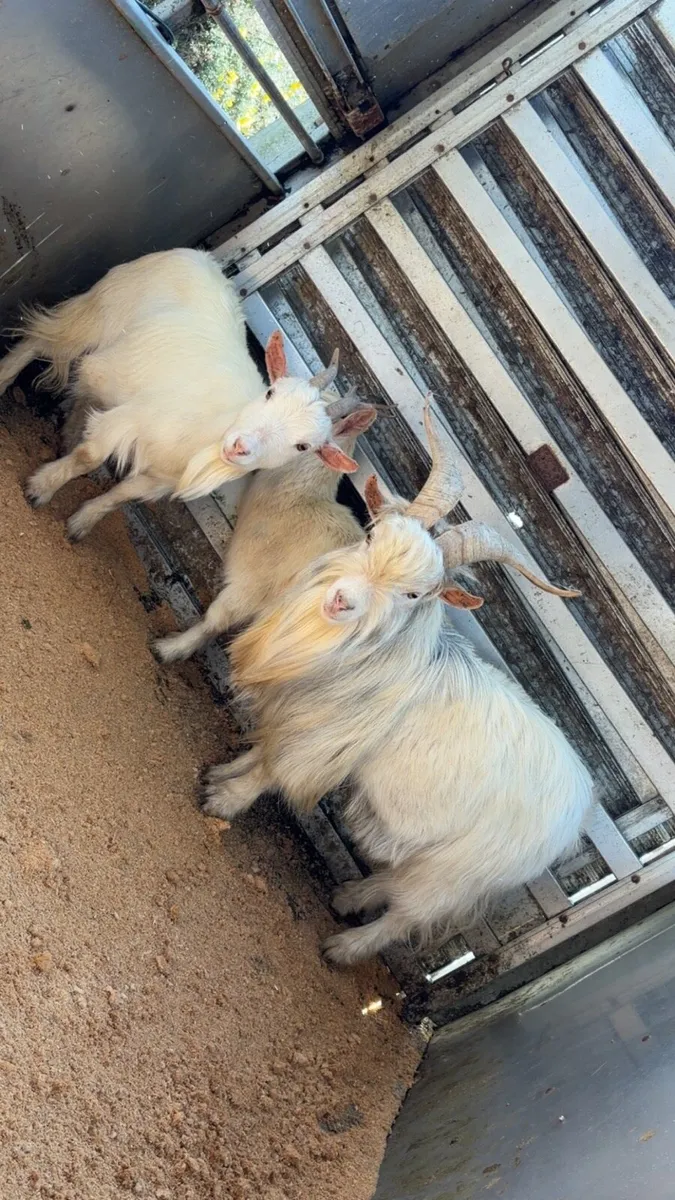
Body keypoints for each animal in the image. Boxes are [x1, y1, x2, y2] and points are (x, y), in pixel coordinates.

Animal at [0, 248, 356, 539]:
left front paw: (81, 523)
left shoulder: (159, 479)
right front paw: (39, 489)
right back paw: (5, 376)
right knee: (45, 340)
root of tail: (201, 257)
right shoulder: (129, 420)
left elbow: (121, 495)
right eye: (270, 392)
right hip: (103, 310)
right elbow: (89, 457)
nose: (239, 447)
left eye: (304, 446)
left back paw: (69, 432)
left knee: (87, 386)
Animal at [199, 401, 591, 965]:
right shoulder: (298, 713)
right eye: (369, 538)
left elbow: (270, 772)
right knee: (393, 882)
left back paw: (344, 946)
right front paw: (221, 774)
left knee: (406, 915)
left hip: (454, 873)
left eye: (414, 595)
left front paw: (223, 802)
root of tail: (579, 814)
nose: (342, 600)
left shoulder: (323, 742)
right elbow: (263, 751)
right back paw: (350, 895)